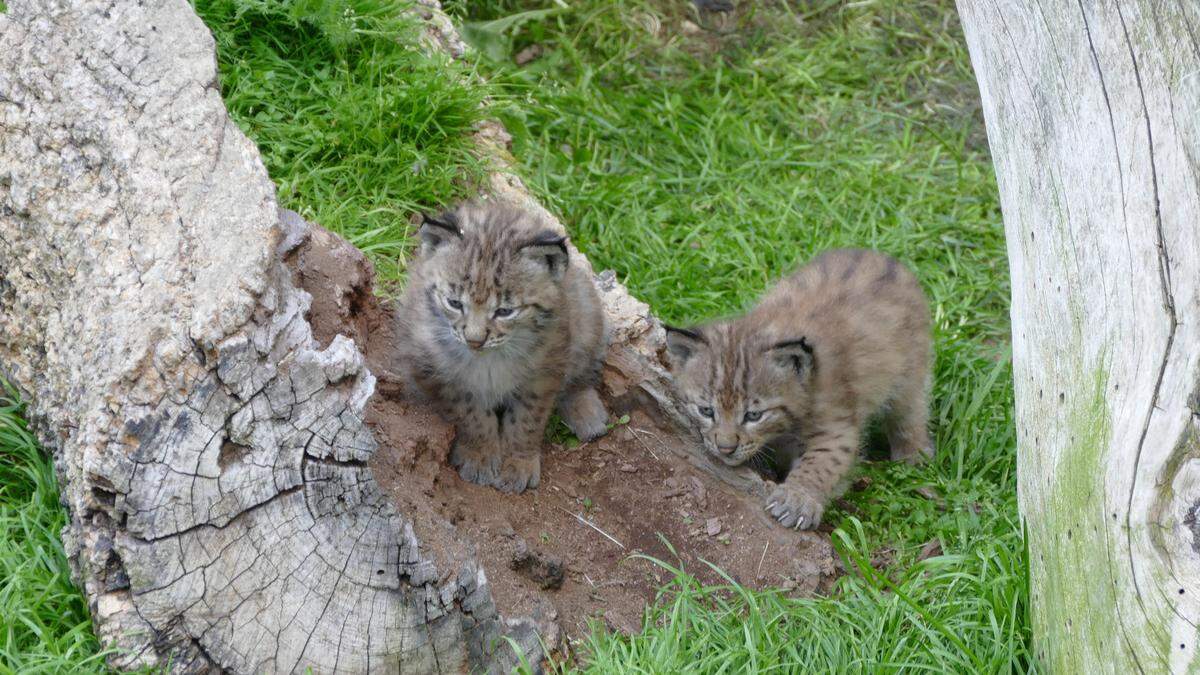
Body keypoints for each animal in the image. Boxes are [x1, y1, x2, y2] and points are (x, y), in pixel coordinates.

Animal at [398, 198, 614, 487]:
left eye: (505, 311)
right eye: (454, 303)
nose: (474, 340)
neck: (491, 357)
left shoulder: (544, 370)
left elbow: (527, 420)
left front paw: (518, 462)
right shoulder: (438, 372)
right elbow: (471, 415)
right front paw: (480, 454)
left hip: (586, 311)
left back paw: (586, 412)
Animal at [667, 249, 926, 528]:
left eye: (754, 415)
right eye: (706, 411)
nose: (725, 449)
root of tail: (874, 253)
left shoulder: (837, 427)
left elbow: (823, 462)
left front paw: (798, 499)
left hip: (911, 374)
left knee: (911, 414)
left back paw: (913, 458)